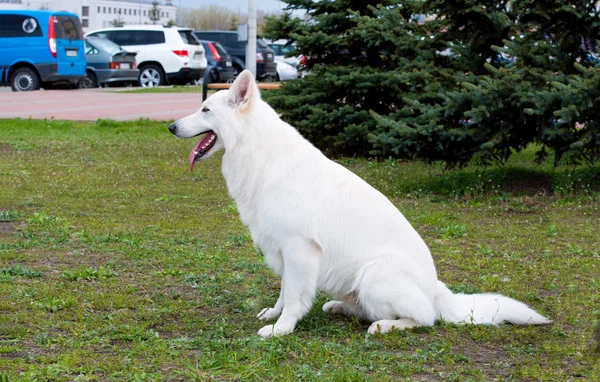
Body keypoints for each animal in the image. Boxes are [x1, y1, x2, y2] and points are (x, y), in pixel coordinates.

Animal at [168, 71, 548, 338]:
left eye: (205, 109)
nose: (171, 126)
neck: (259, 152)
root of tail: (438, 290)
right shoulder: (285, 252)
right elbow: (284, 291)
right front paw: (275, 316)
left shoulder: (299, 249)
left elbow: (293, 295)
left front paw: (282, 328)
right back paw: (340, 308)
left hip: (375, 274)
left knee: (424, 318)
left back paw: (387, 326)